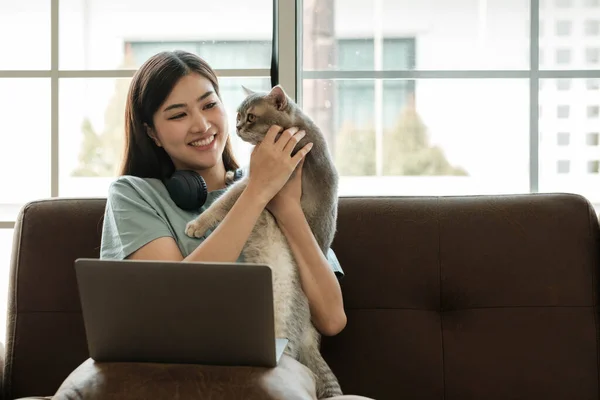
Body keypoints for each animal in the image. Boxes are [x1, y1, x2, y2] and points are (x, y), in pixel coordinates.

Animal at [183, 83, 342, 396]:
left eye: (251, 117)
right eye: (238, 115)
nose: (237, 127)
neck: (297, 128)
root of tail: (310, 333)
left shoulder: (263, 182)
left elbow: (226, 200)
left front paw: (198, 224)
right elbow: (233, 185)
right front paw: (230, 172)